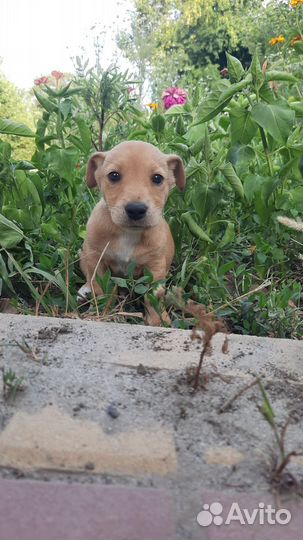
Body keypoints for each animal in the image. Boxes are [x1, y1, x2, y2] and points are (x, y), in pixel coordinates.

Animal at [78, 140, 188, 324]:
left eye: (157, 178)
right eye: (113, 175)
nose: (136, 210)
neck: (127, 233)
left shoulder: (155, 267)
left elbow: (153, 297)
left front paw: (158, 320)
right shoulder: (96, 260)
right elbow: (102, 290)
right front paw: (102, 314)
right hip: (83, 254)